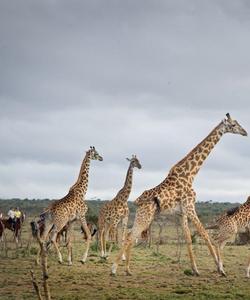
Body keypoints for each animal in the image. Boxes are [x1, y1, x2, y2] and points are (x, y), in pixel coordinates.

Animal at [112, 113, 248, 276]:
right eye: (233, 125)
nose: (245, 132)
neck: (190, 174)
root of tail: (137, 201)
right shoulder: (190, 207)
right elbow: (204, 234)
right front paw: (220, 269)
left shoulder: (181, 213)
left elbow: (188, 238)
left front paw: (195, 269)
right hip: (145, 217)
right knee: (129, 237)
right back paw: (114, 269)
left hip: (142, 216)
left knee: (130, 236)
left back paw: (125, 269)